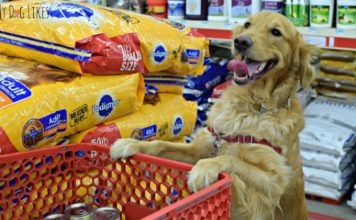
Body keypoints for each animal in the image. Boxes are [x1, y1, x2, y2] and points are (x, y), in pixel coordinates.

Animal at [110, 12, 312, 220]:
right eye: (247, 25)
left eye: (276, 32)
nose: (241, 41)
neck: (250, 105)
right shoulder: (200, 148)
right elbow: (161, 144)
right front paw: (131, 143)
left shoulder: (273, 183)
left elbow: (231, 160)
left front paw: (204, 168)